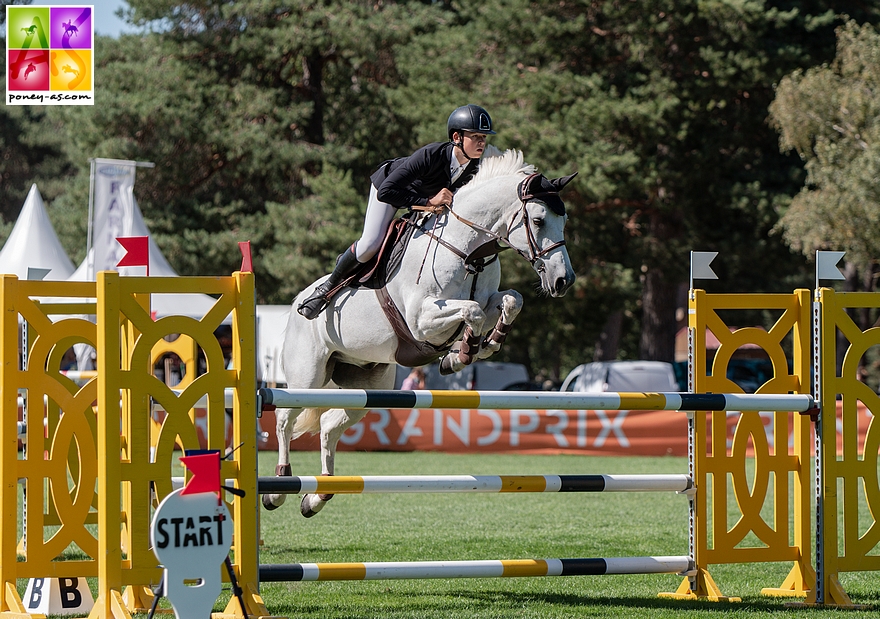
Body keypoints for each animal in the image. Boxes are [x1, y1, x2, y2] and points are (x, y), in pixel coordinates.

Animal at [262, 150, 576, 520]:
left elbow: (509, 301)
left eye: (564, 221)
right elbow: (472, 310)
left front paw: (483, 345)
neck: (467, 251)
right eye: (539, 221)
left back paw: (315, 497)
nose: (563, 281)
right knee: (284, 420)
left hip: (367, 384)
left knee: (329, 425)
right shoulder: (421, 320)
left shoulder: (487, 299)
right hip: (306, 375)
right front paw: (461, 355)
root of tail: (295, 302)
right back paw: (278, 489)